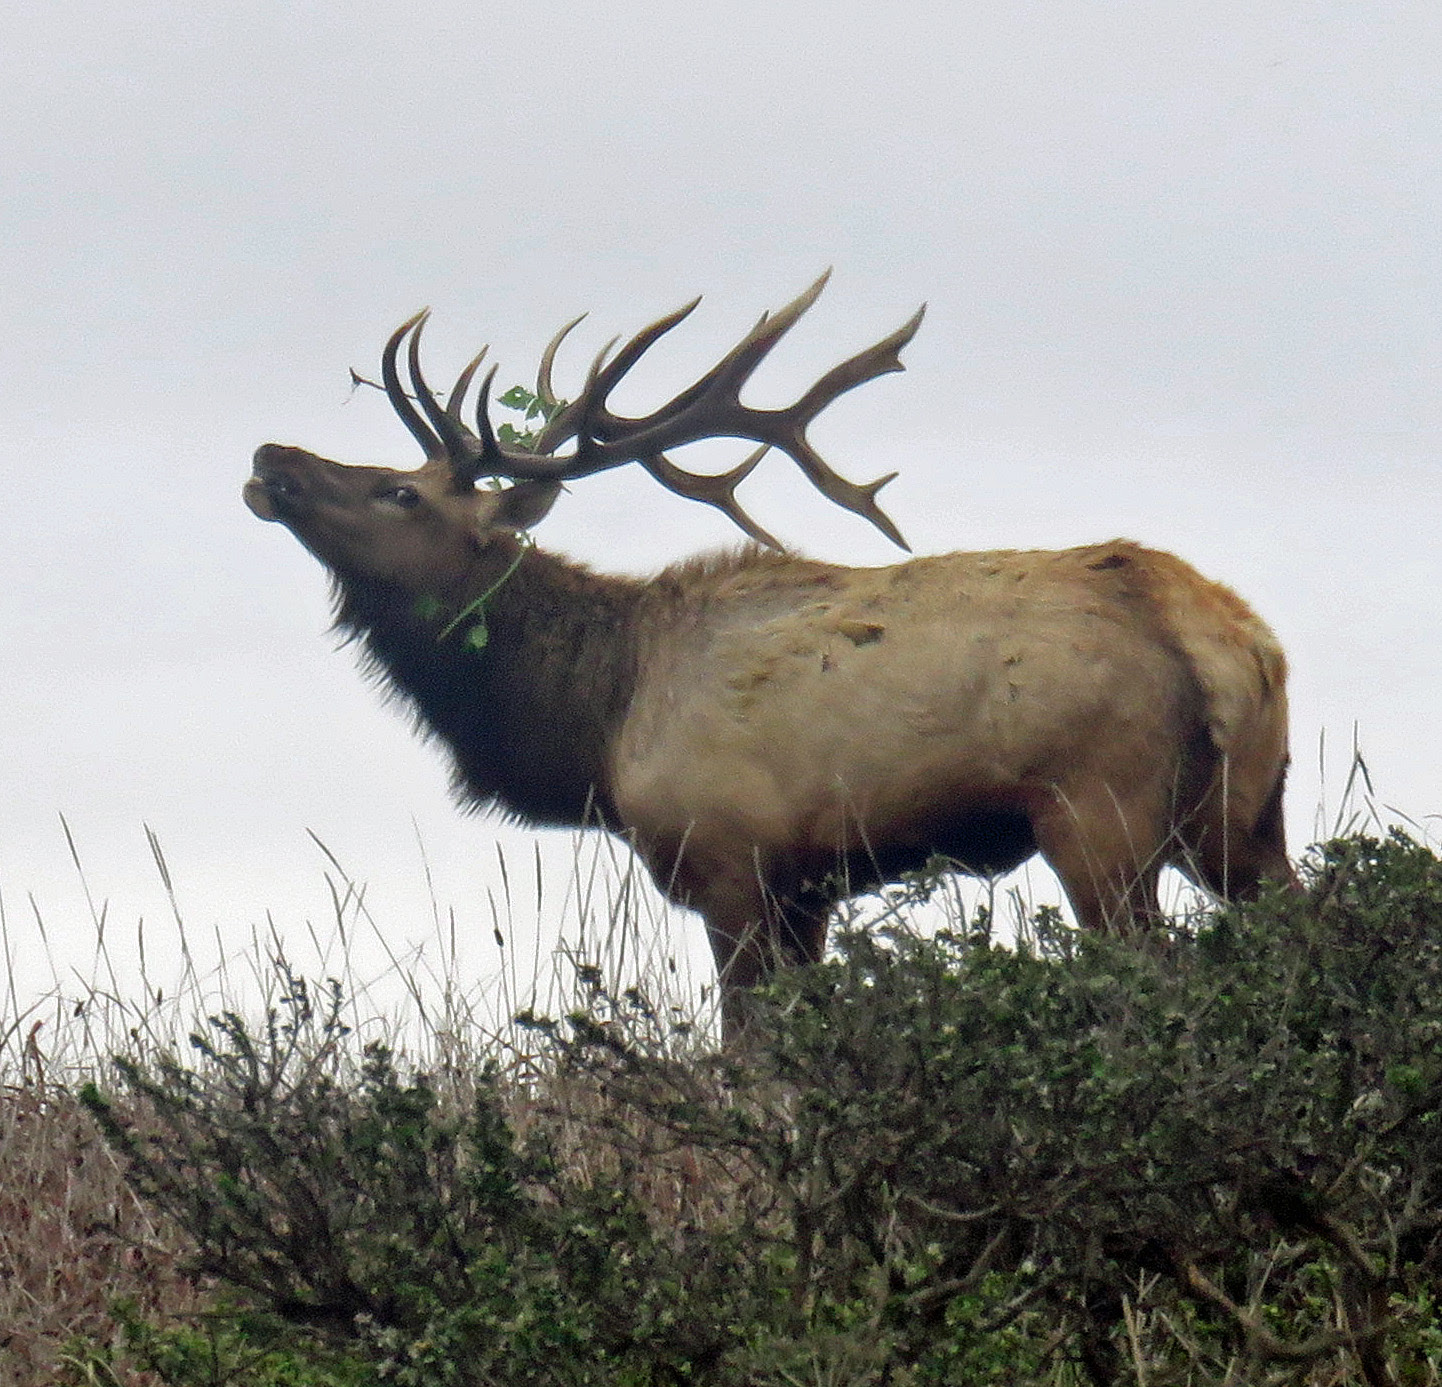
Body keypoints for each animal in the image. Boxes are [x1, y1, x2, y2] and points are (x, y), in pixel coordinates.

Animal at [242, 272, 1292, 1026]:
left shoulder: (729, 861)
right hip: (1247, 811)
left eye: (402, 494)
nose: (268, 459)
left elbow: (746, 1051)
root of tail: (1224, 632)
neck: (598, 725)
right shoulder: (807, 888)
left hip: (1098, 810)